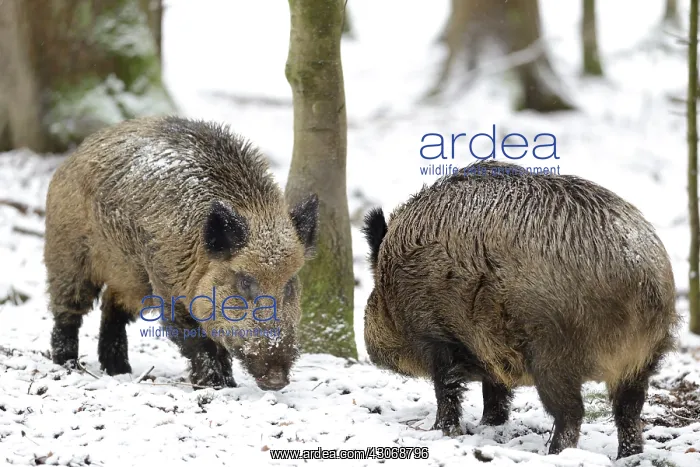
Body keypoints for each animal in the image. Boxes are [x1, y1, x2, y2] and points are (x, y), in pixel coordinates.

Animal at [45, 116, 318, 391]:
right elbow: (199, 342)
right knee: (68, 311)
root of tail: (73, 156)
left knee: (113, 309)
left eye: (289, 284)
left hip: (130, 276)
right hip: (67, 254)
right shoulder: (168, 284)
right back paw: (67, 365)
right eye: (244, 281)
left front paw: (228, 385)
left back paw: (119, 370)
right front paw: (216, 386)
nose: (276, 379)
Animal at [361, 160, 679, 458]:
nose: (373, 356)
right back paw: (629, 456)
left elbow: (448, 389)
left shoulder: (438, 337)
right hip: (645, 357)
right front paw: (489, 426)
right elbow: (495, 392)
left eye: (373, 291)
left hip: (554, 355)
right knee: (629, 410)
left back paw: (555, 453)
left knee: (572, 412)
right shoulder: (491, 348)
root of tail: (642, 275)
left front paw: (441, 431)